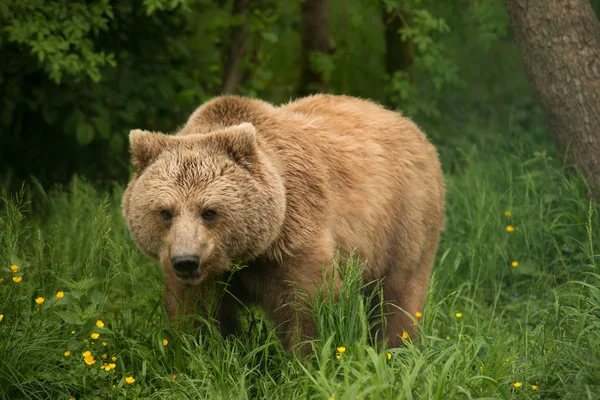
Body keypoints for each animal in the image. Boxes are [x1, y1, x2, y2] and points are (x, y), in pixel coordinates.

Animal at [122, 94, 446, 354]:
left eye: (209, 211)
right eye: (165, 211)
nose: (186, 260)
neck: (245, 253)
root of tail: (409, 124)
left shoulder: (293, 238)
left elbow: (308, 305)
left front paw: (306, 362)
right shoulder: (201, 271)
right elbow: (195, 313)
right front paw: (203, 355)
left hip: (406, 218)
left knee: (399, 295)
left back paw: (396, 350)